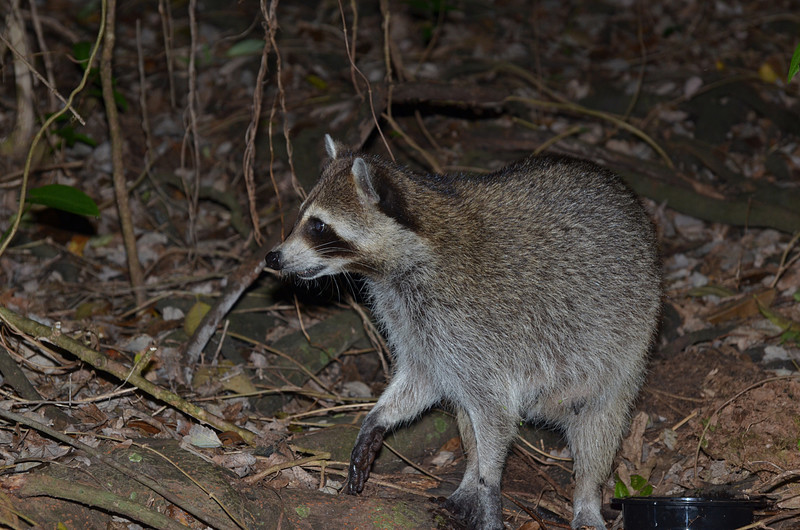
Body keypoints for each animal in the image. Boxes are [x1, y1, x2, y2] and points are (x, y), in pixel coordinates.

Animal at [266, 135, 661, 530]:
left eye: (318, 226)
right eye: (303, 215)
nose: (272, 257)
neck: (400, 264)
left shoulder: (474, 328)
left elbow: (496, 412)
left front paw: (490, 488)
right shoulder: (417, 324)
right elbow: (425, 376)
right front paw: (378, 419)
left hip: (624, 342)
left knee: (599, 420)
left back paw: (586, 496)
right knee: (465, 411)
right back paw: (470, 475)